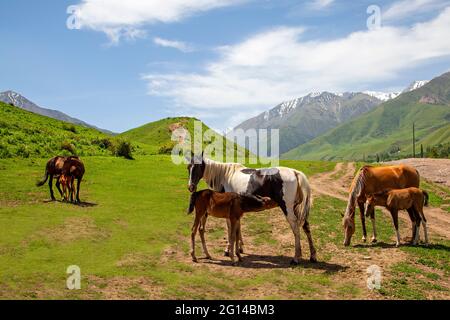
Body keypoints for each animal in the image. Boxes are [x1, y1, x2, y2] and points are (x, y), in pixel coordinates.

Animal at [186, 153, 316, 264]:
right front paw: (239, 248)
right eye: (188, 167)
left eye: (198, 167)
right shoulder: (236, 212)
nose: (191, 187)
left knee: (295, 228)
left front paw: (228, 250)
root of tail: (294, 172)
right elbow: (237, 229)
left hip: (287, 209)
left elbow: (230, 229)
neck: (225, 175)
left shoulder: (230, 213)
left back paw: (296, 258)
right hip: (296, 208)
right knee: (306, 226)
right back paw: (312, 255)